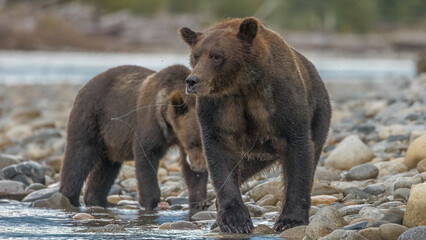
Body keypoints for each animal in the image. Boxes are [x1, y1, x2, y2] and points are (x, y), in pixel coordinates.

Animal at [58, 63, 208, 210]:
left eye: (202, 144)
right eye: (192, 143)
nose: (200, 168)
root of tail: (85, 86)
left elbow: (189, 168)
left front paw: (200, 201)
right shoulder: (151, 122)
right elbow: (146, 157)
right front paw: (150, 202)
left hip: (110, 143)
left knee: (106, 167)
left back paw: (100, 201)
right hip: (91, 117)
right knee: (79, 156)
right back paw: (69, 198)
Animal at [178, 17, 332, 232]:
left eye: (216, 56)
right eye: (195, 56)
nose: (192, 80)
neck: (242, 86)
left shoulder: (282, 103)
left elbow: (299, 153)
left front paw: (290, 220)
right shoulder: (217, 110)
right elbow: (220, 157)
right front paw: (234, 221)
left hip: (318, 114)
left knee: (311, 155)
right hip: (256, 151)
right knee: (243, 168)